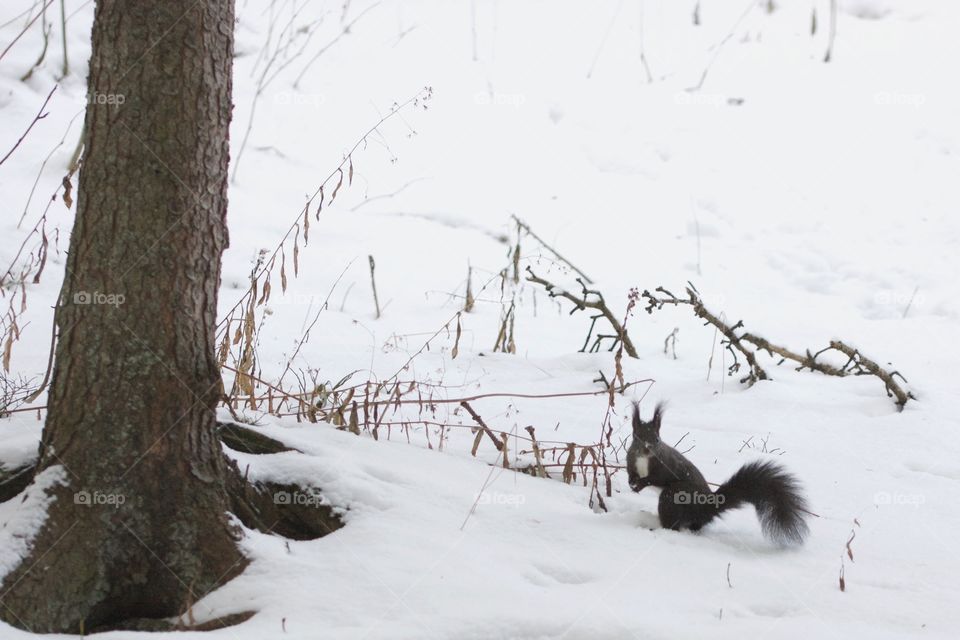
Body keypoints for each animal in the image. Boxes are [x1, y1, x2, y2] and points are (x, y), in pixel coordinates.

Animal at [626, 402, 809, 545]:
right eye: (636, 437)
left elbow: (655, 478)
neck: (643, 459)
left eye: (657, 439)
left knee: (673, 523)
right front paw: (632, 483)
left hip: (674, 496)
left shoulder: (666, 465)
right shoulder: (631, 461)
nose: (647, 449)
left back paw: (657, 529)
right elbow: (631, 474)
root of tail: (706, 509)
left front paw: (641, 484)